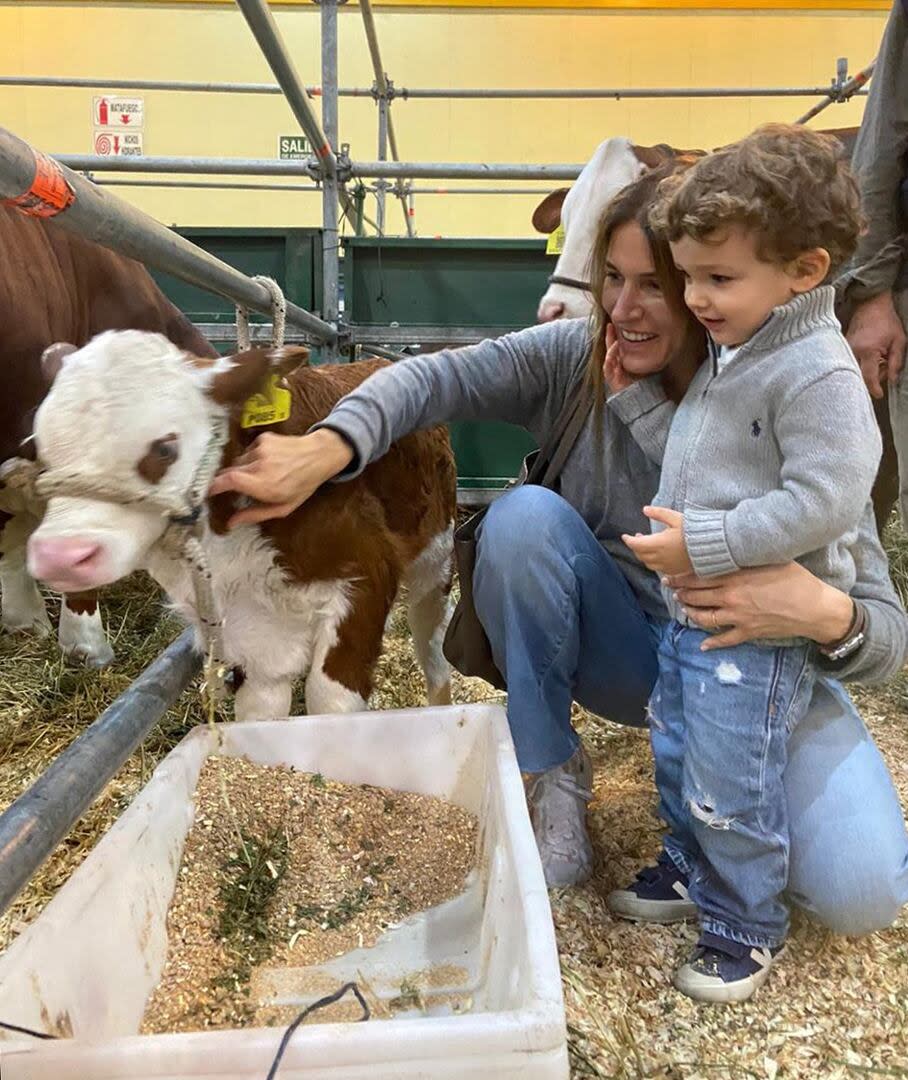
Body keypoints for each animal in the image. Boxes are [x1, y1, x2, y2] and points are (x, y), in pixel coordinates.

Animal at [25, 328, 457, 717]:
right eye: (40, 448)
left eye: (165, 448)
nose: (59, 556)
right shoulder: (251, 632)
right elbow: (261, 712)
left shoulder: (364, 579)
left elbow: (329, 703)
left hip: (435, 560)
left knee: (433, 647)